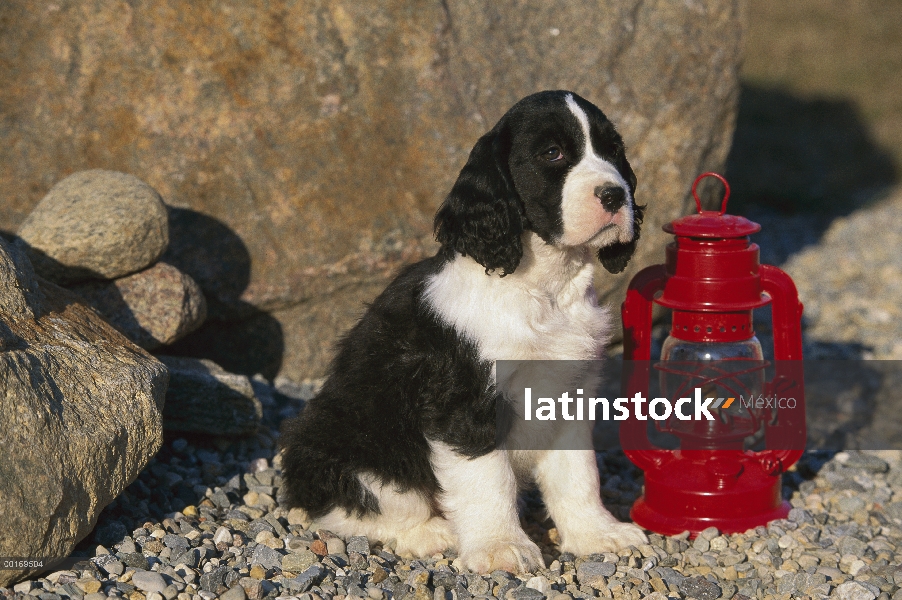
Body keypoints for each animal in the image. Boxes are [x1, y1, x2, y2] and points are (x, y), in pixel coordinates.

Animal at [282, 89, 648, 572]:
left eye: (613, 150)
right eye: (552, 153)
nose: (614, 194)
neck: (541, 290)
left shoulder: (570, 392)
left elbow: (579, 474)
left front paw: (597, 534)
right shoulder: (465, 404)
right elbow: (487, 479)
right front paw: (500, 547)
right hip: (346, 442)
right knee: (348, 506)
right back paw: (431, 533)